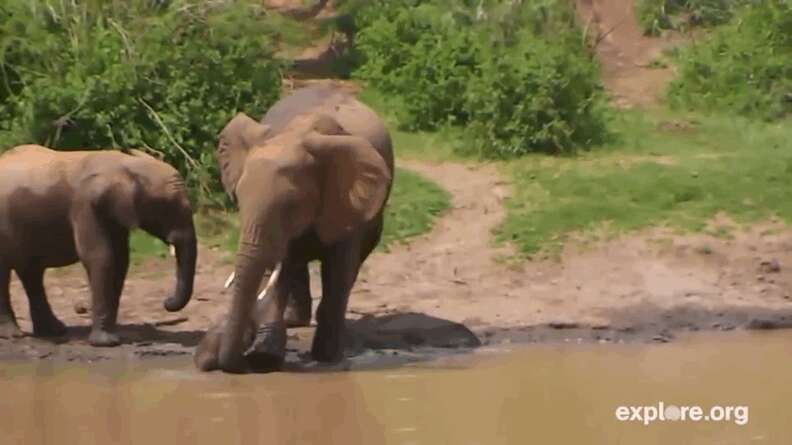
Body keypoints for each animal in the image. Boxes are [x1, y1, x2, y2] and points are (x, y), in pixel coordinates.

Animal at [0, 144, 197, 346]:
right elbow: (100, 257)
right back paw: (13, 335)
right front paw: (106, 342)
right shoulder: (85, 206)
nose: (166, 302)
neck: (126, 164)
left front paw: (111, 336)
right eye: (166, 206)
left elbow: (120, 261)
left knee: (32, 273)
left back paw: (53, 331)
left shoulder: (114, 212)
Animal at [196, 86, 394, 372]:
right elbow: (282, 268)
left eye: (291, 206)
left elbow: (339, 271)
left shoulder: (347, 202)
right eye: (239, 201)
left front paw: (327, 357)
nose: (212, 360)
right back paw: (292, 321)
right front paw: (265, 358)